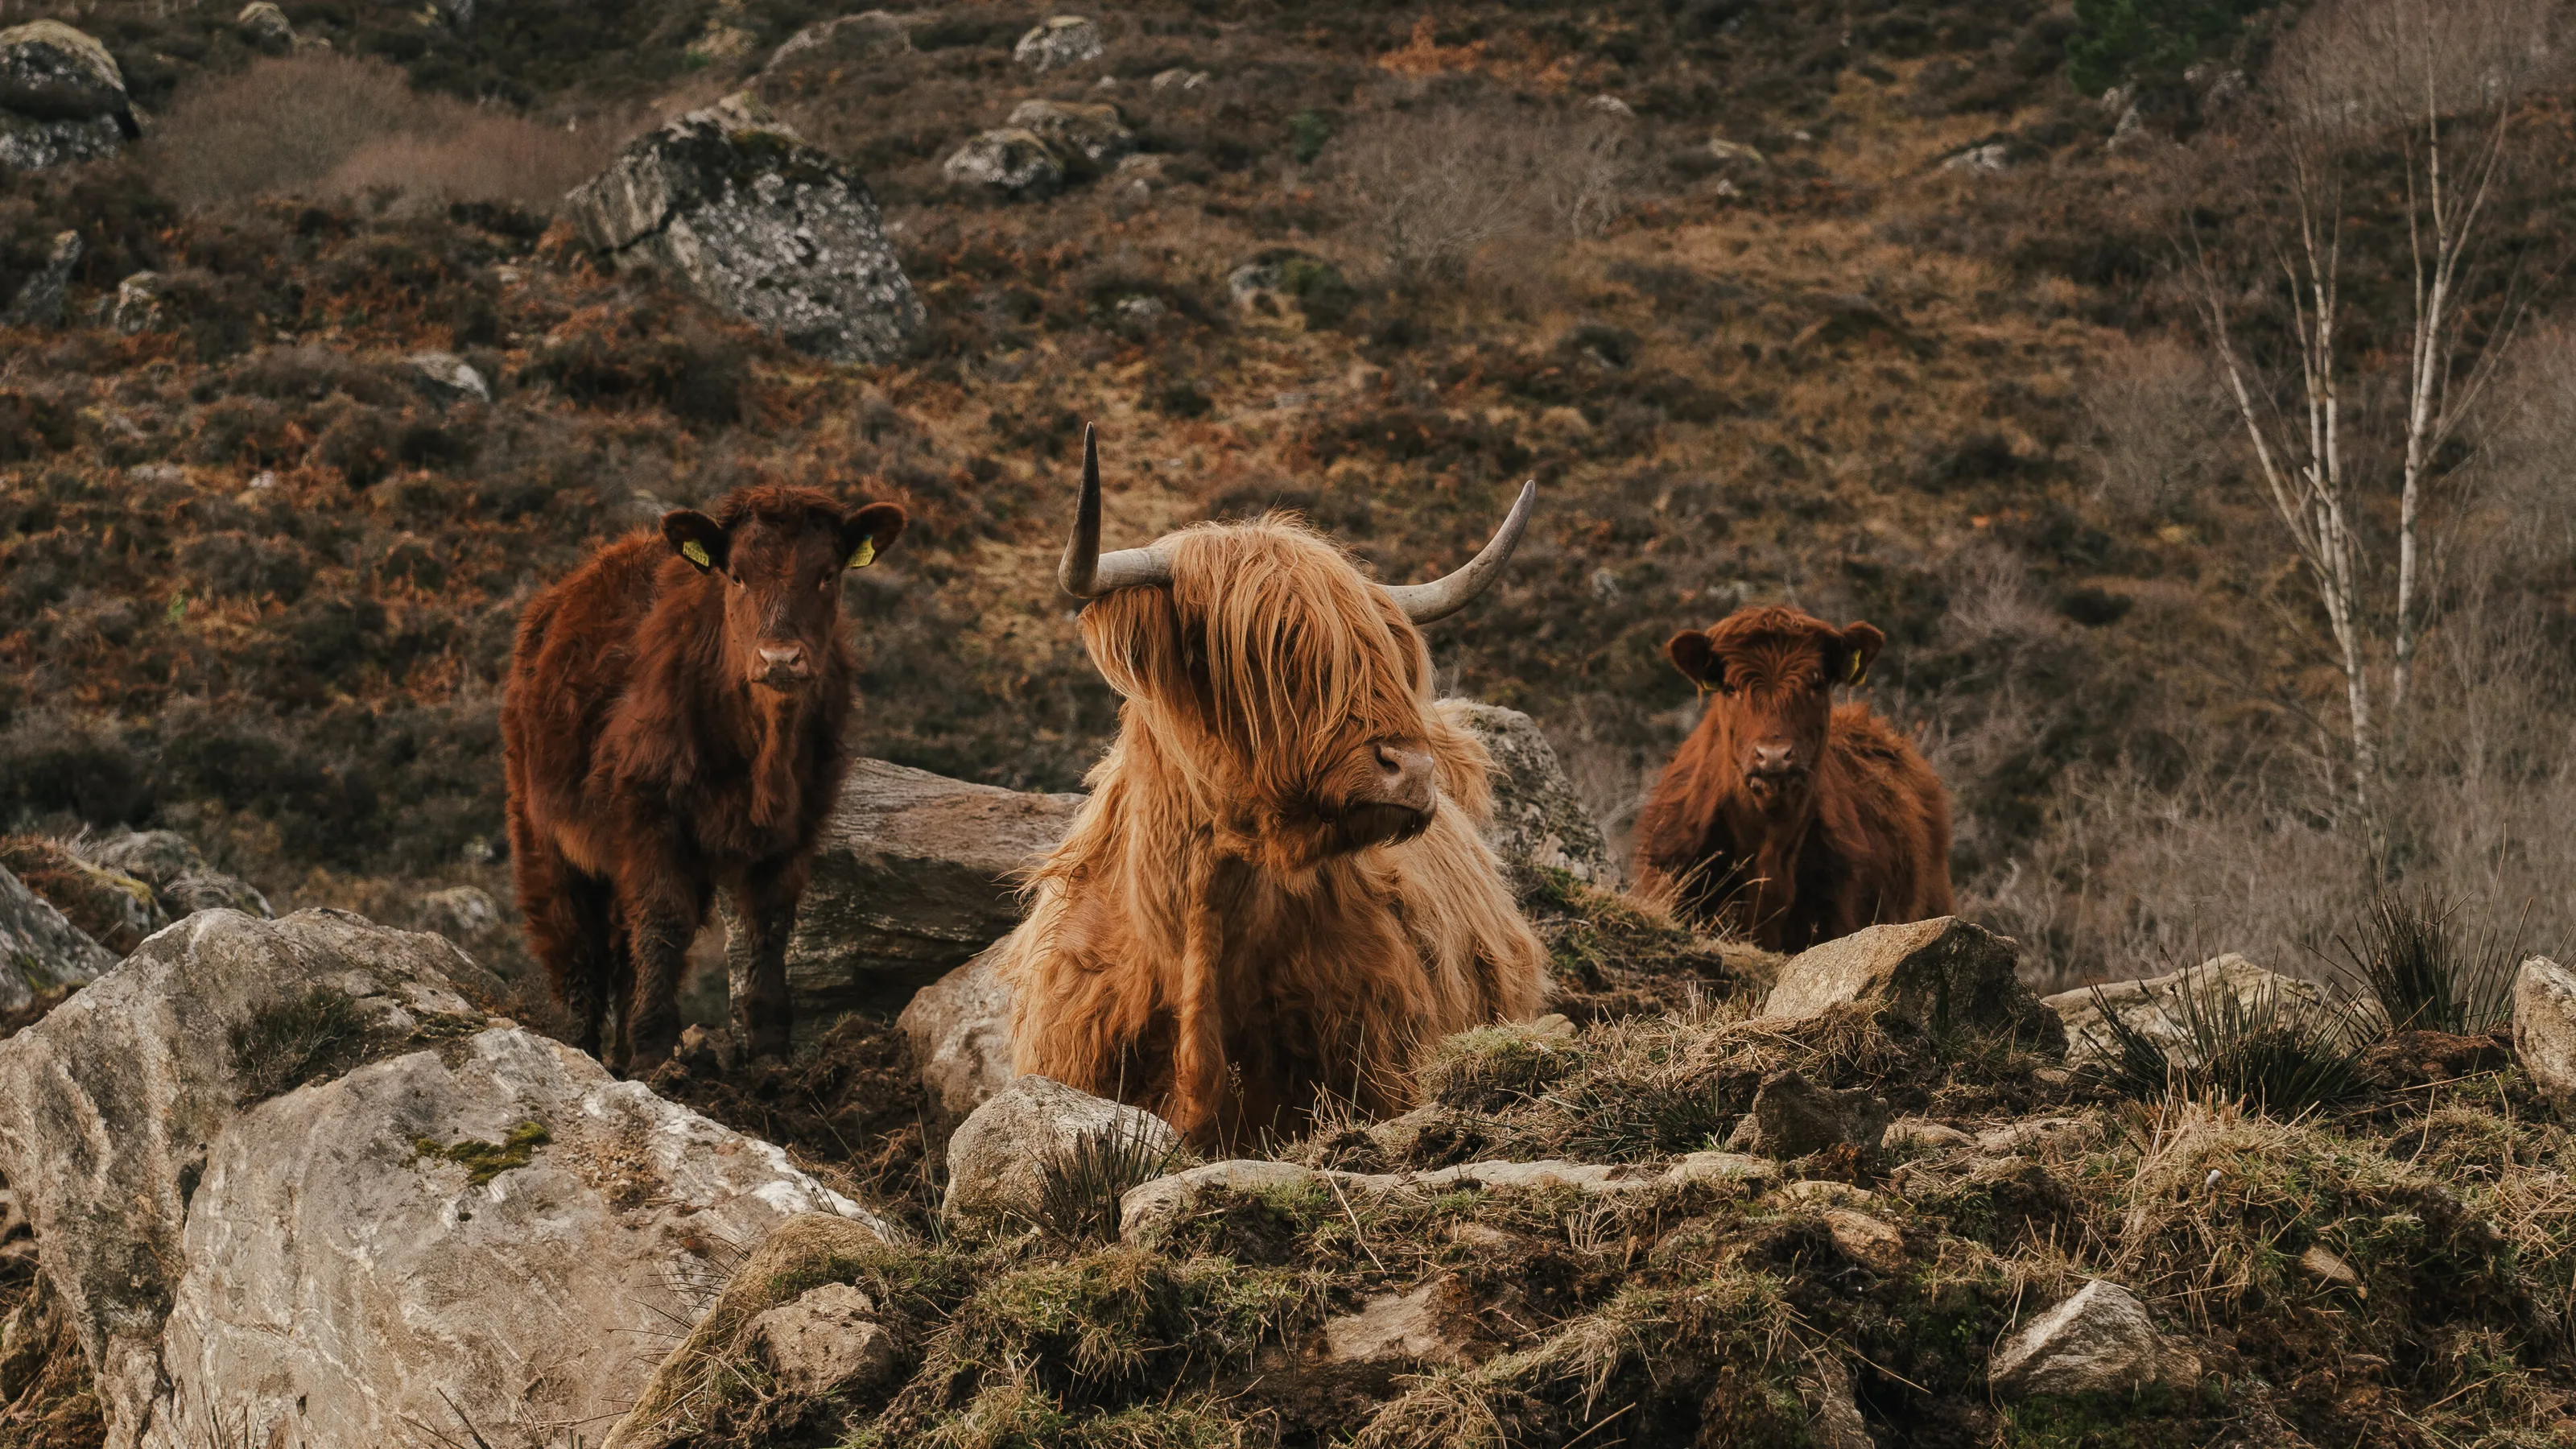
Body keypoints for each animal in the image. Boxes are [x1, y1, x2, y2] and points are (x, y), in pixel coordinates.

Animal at [501, 484, 907, 1073]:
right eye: (736, 575)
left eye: (827, 574)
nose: (780, 658)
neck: (763, 756)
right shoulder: (648, 816)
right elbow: (664, 920)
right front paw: (654, 1052)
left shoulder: (796, 828)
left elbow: (768, 925)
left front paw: (769, 1053)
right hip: (540, 832)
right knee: (574, 941)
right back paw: (579, 1046)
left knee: (624, 948)